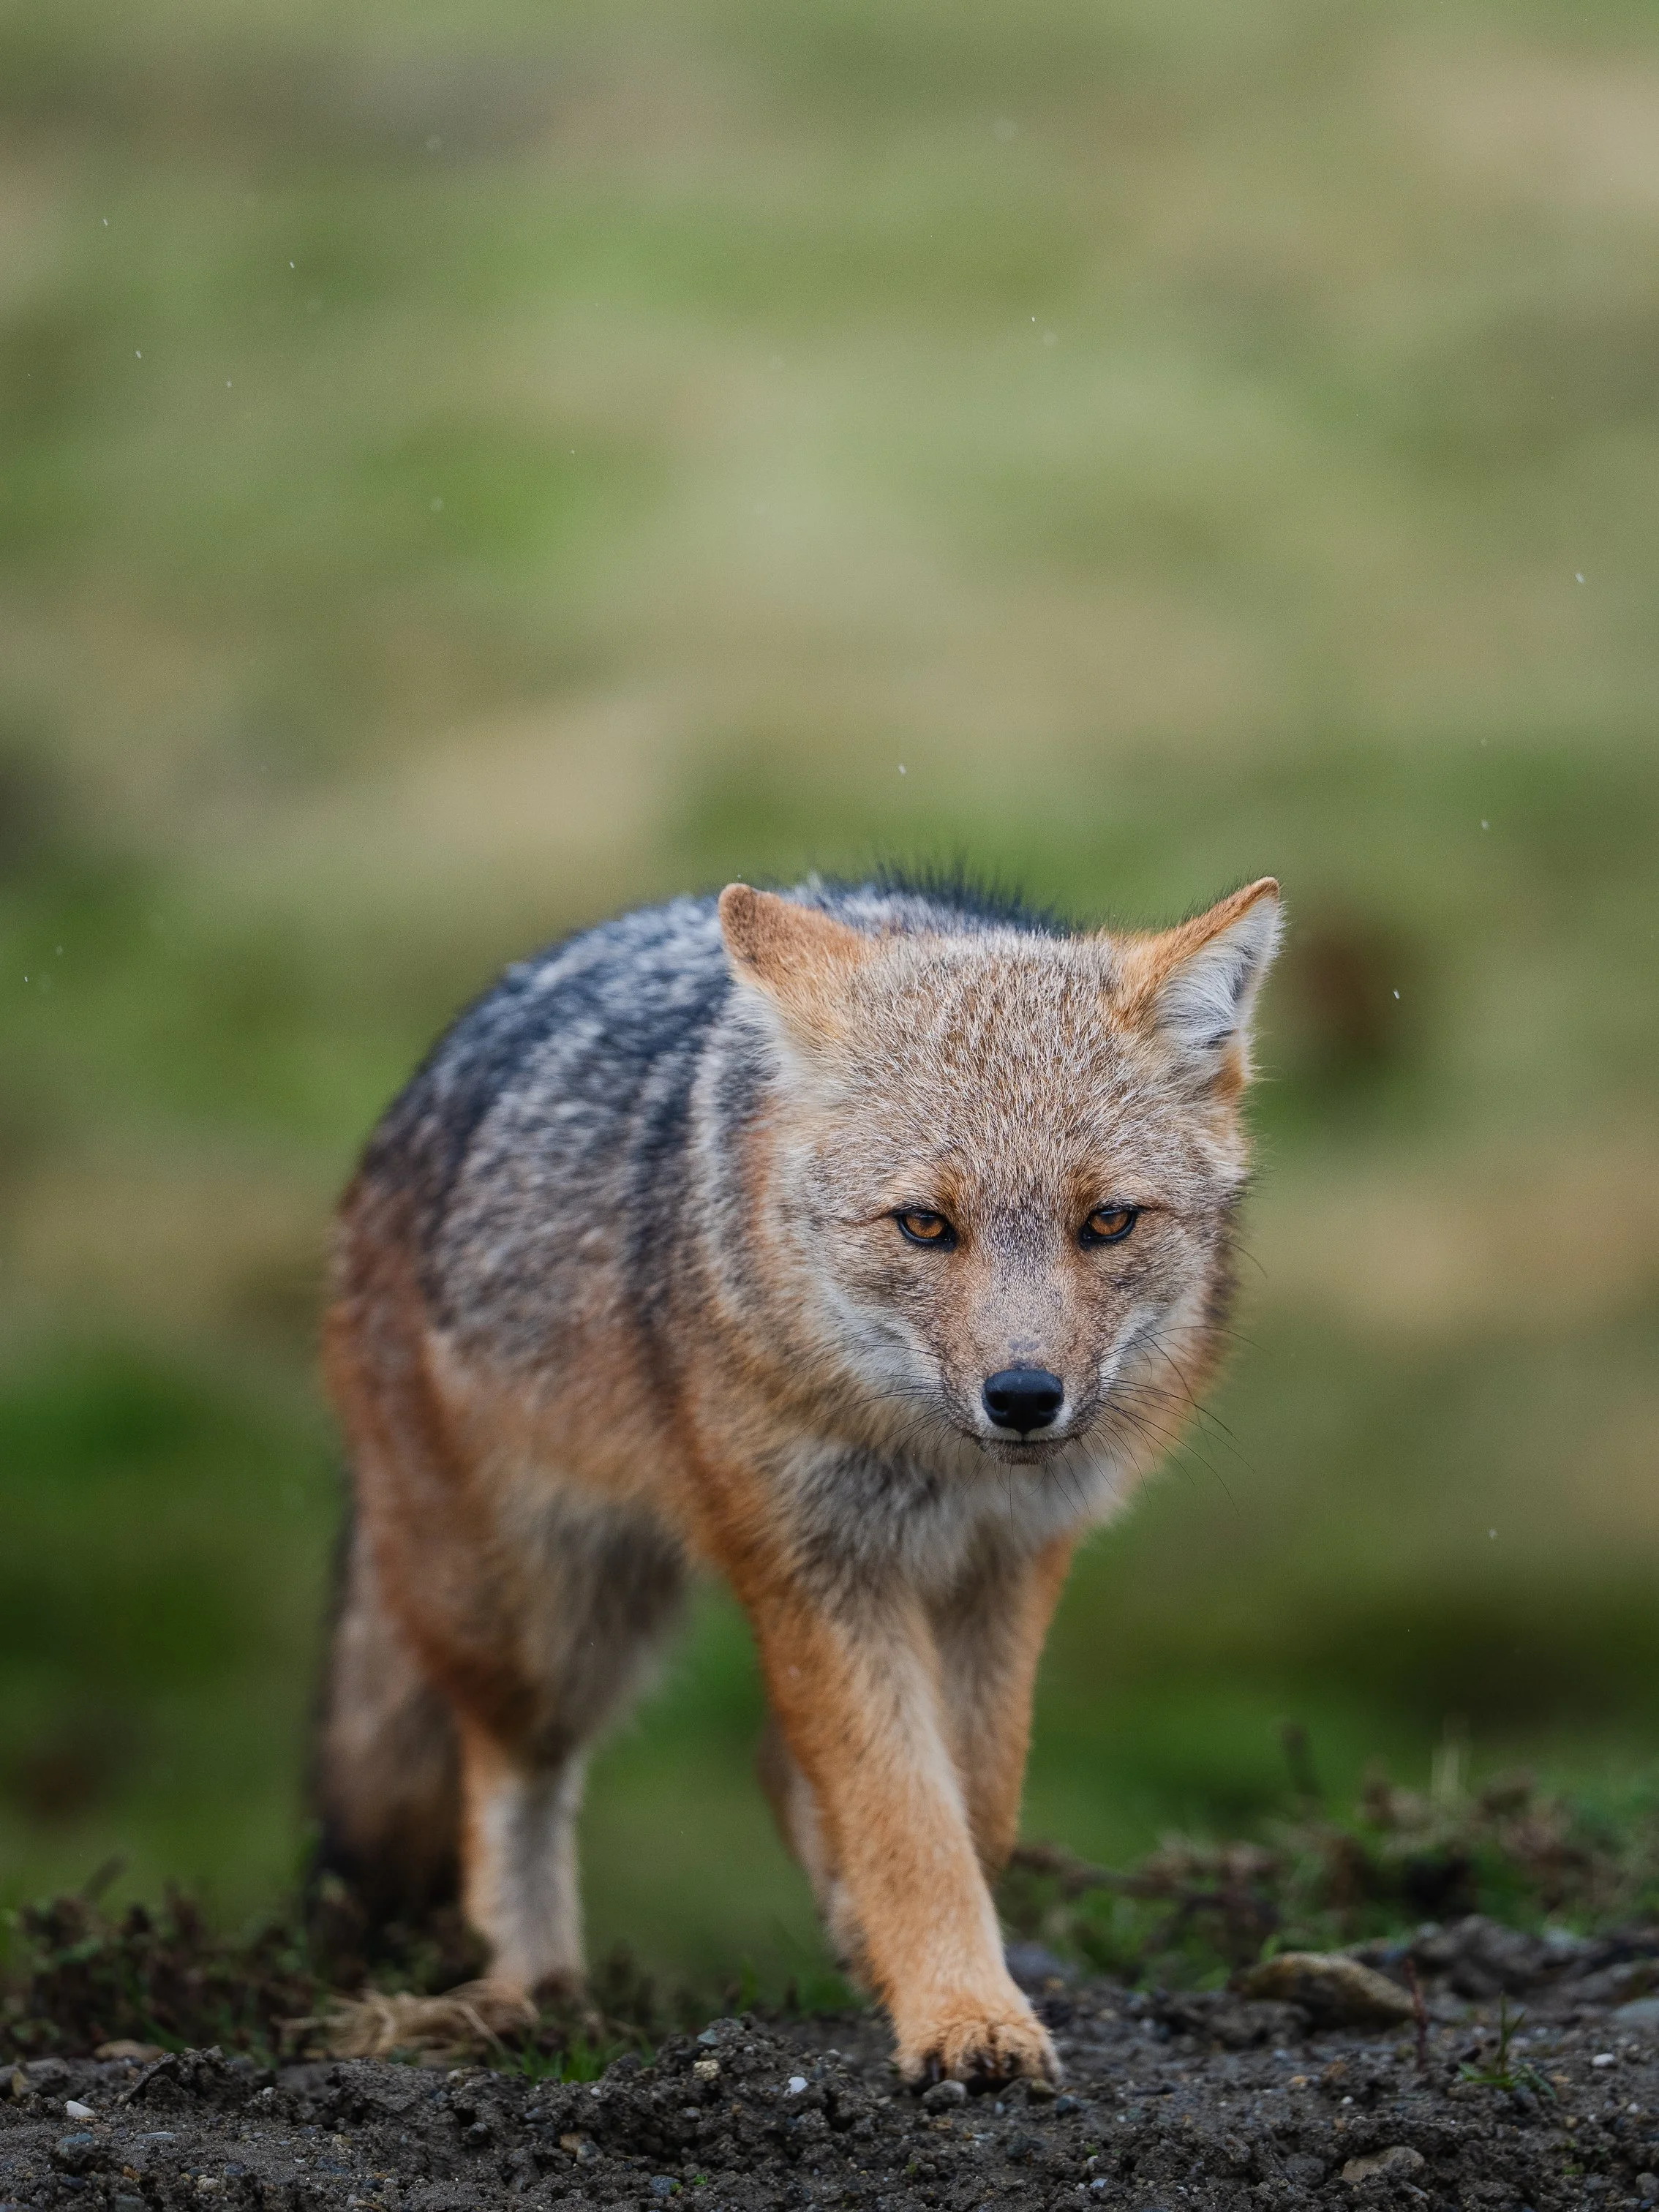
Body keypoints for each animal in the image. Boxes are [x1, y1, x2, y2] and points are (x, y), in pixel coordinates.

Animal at [315, 869, 1281, 2086]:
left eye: (1107, 1222)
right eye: (925, 1225)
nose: (1024, 1396)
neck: (940, 1471)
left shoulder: (1009, 1564)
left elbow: (971, 1801)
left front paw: (918, 1961)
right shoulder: (818, 1567)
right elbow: (905, 1820)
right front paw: (963, 2014)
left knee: (777, 1763)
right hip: (547, 1632)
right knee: (509, 1776)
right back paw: (528, 1998)